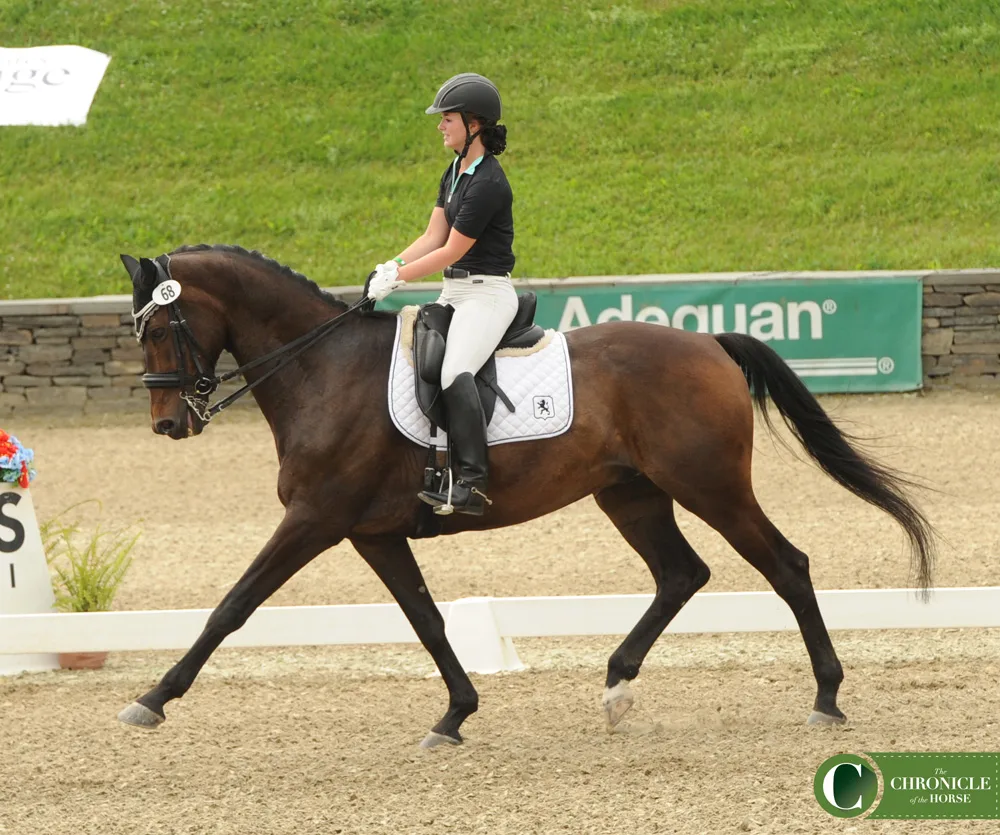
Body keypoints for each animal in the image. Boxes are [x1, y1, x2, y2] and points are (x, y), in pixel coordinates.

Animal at [117, 245, 936, 748]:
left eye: (157, 327)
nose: (166, 424)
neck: (323, 368)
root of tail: (707, 343)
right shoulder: (372, 531)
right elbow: (427, 619)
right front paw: (455, 715)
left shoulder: (315, 518)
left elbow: (233, 605)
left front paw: (153, 698)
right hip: (632, 494)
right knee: (682, 573)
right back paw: (616, 685)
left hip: (710, 484)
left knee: (786, 566)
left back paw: (826, 698)